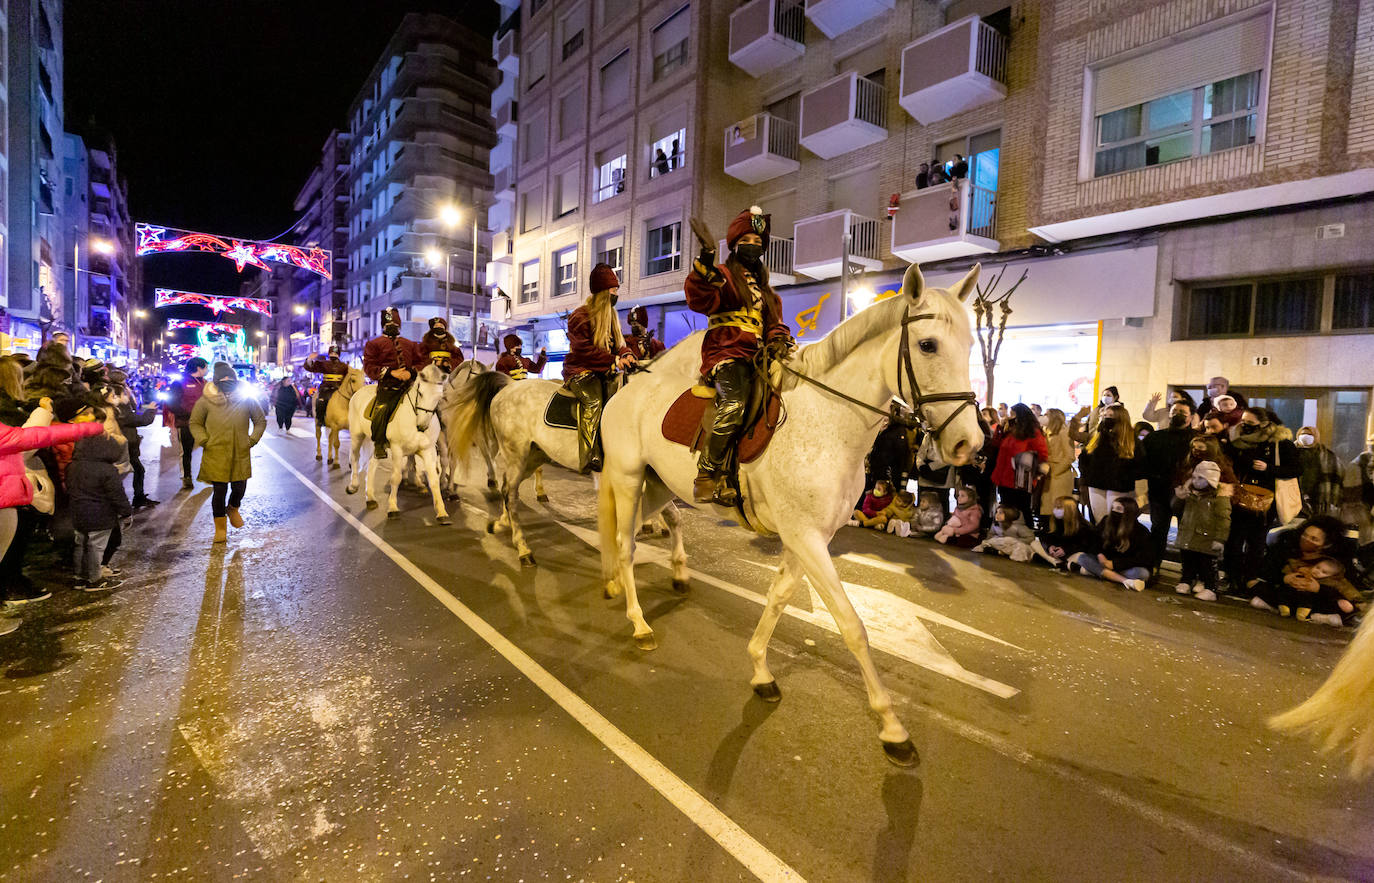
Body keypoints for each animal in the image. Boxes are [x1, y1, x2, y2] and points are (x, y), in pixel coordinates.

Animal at [346, 365, 453, 524]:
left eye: (439, 397)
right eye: (420, 393)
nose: (422, 425)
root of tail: (359, 392)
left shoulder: (428, 451)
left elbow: (433, 479)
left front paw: (442, 512)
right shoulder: (397, 449)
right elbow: (396, 478)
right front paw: (392, 508)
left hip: (377, 444)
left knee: (371, 465)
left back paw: (370, 498)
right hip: (357, 436)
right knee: (354, 458)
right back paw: (353, 486)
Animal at [442, 370, 684, 576]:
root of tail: (509, 386)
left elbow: (672, 515)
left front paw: (679, 570)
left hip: (532, 458)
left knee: (506, 488)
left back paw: (501, 523)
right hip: (516, 456)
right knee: (510, 495)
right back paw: (523, 549)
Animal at [596, 262, 983, 769]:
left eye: (971, 343)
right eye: (928, 345)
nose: (968, 443)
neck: (831, 421)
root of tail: (627, 390)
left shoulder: (811, 537)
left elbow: (779, 598)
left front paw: (760, 669)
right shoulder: (806, 537)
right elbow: (852, 626)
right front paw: (892, 727)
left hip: (658, 485)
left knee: (630, 536)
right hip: (627, 477)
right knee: (624, 544)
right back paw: (639, 623)